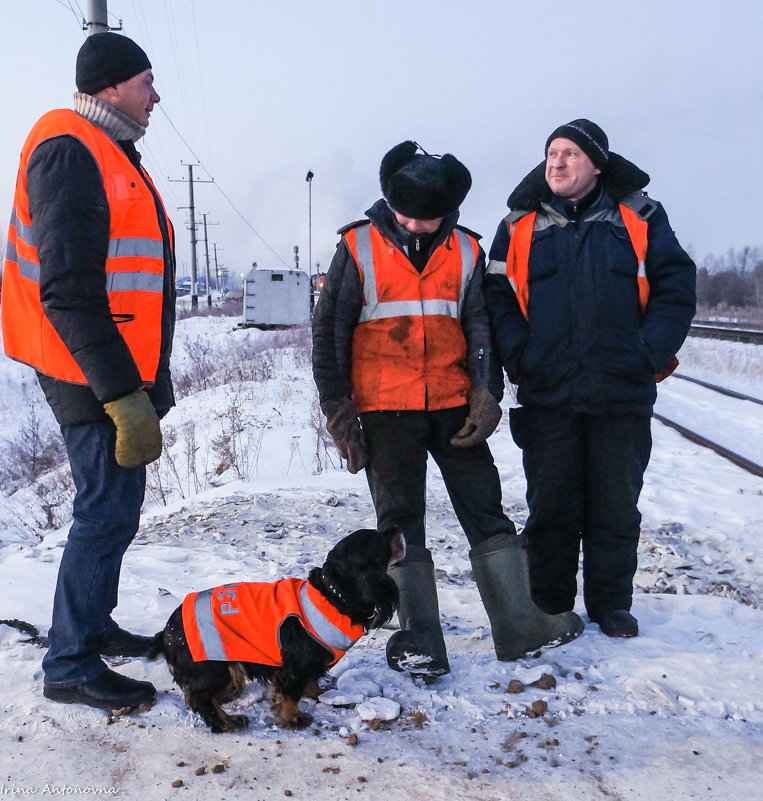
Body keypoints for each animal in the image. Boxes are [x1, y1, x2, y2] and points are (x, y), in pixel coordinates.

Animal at [145, 524, 402, 732]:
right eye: (381, 541)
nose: (396, 528)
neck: (332, 596)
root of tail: (165, 634)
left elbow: (311, 682)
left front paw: (321, 694)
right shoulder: (295, 666)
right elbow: (290, 694)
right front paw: (293, 718)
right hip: (212, 666)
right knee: (200, 700)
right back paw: (227, 722)